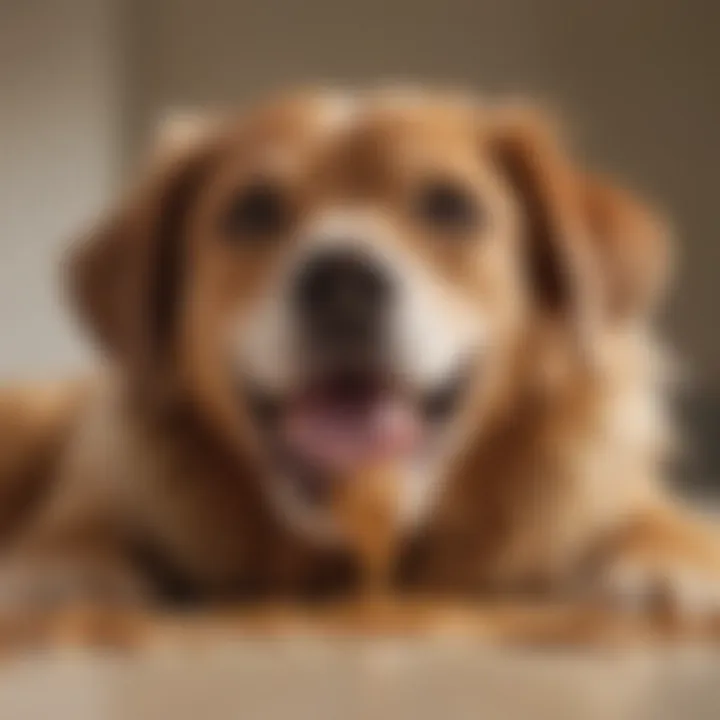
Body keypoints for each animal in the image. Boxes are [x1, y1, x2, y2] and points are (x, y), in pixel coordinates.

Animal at [0, 86, 720, 648]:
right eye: (252, 210)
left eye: (449, 205)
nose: (342, 281)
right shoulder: (103, 484)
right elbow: (75, 525)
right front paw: (61, 571)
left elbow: (656, 517)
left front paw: (672, 562)